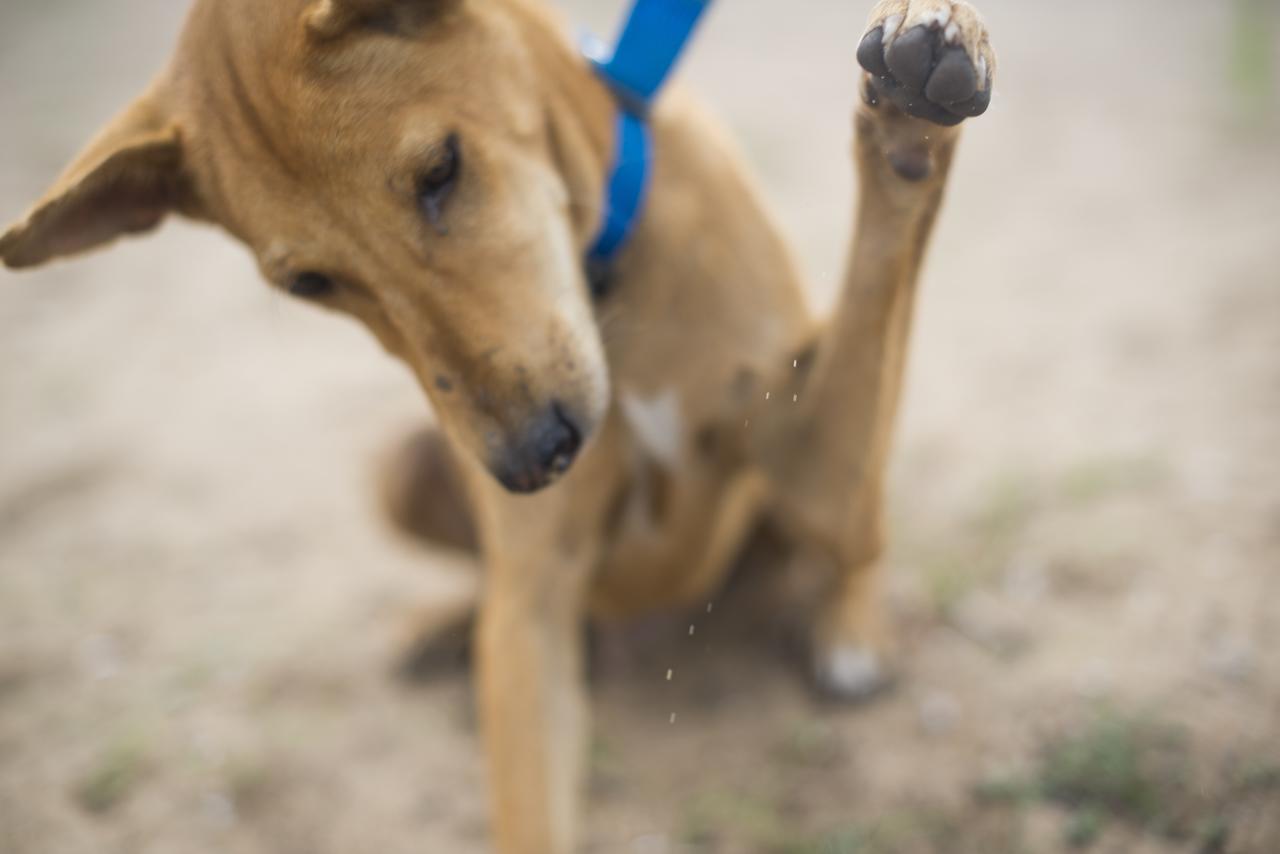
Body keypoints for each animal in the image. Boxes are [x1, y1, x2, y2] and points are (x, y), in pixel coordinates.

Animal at [0, 0, 993, 850]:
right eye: (308, 282)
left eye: (440, 169)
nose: (529, 465)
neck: (608, 283)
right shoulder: (531, 607)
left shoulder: (806, 455)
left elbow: (881, 283)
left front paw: (911, 118)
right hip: (404, 469)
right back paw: (439, 623)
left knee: (859, 541)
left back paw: (849, 631)